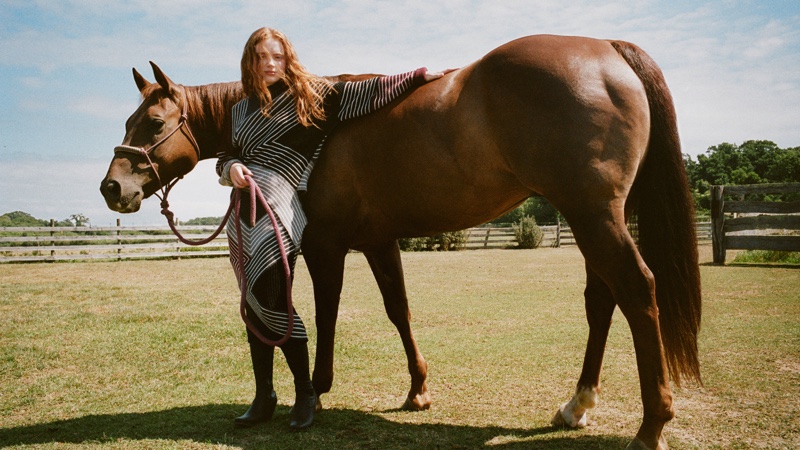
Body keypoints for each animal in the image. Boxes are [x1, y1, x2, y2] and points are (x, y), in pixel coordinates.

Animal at [100, 35, 700, 450]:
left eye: (153, 122)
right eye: (129, 119)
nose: (113, 187)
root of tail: (608, 50)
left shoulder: (325, 245)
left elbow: (324, 312)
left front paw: (316, 389)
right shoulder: (379, 242)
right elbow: (399, 310)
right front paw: (418, 391)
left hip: (594, 217)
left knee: (637, 292)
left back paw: (651, 427)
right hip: (593, 218)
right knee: (603, 301)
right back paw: (576, 406)